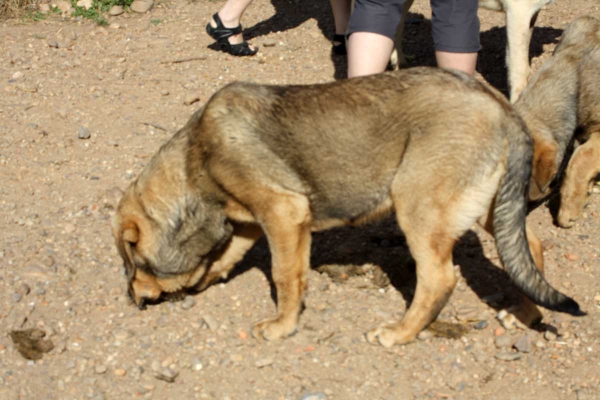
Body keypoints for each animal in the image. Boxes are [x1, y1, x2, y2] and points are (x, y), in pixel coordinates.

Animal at [112, 66, 580, 346]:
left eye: (132, 262)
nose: (132, 301)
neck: (196, 157)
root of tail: (501, 107)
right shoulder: (251, 220)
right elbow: (228, 255)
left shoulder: (283, 212)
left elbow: (284, 276)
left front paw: (282, 326)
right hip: (488, 206)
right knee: (530, 247)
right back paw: (524, 314)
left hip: (418, 207)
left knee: (439, 279)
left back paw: (399, 332)